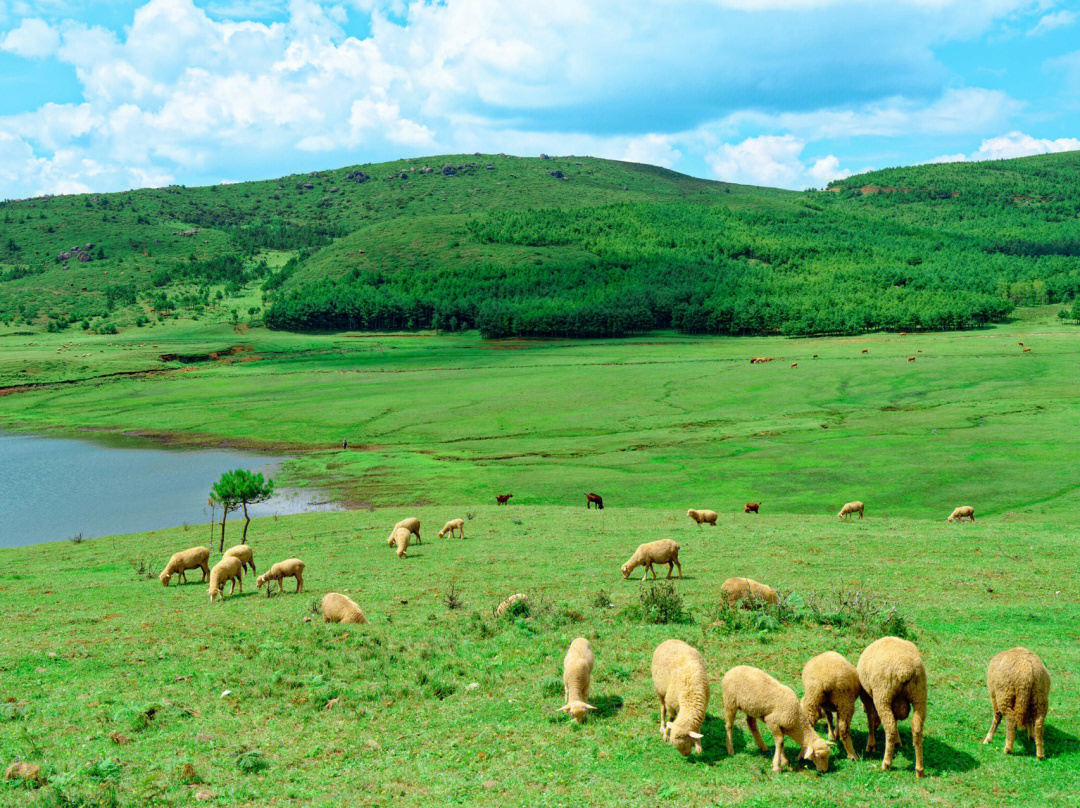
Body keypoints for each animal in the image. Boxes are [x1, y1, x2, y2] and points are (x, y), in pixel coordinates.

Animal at [859, 639, 928, 777]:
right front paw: (898, 741)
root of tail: (904, 669)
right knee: (917, 731)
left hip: (882, 696)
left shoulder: (867, 696)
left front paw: (870, 745)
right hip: (920, 696)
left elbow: (870, 718)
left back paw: (886, 763)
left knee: (889, 728)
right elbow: (895, 720)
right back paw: (919, 769)